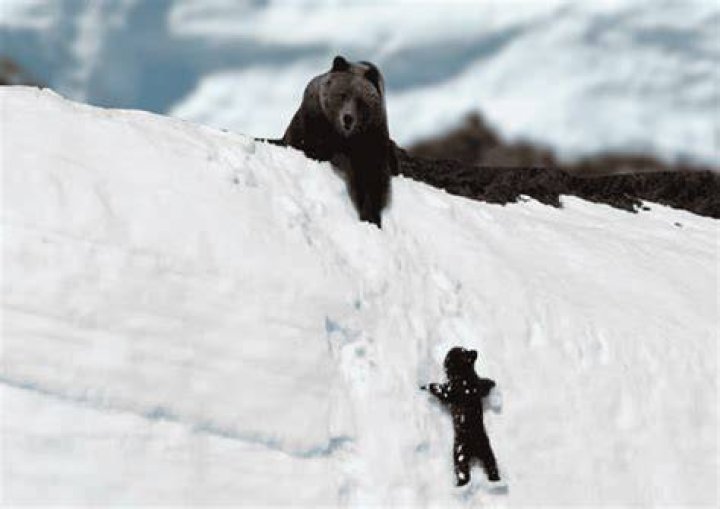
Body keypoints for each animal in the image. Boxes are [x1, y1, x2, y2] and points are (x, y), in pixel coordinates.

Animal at [280, 55, 395, 228]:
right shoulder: (316, 121)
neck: (343, 136)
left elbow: (372, 178)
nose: (348, 118)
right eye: (342, 94)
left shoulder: (371, 136)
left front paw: (371, 217)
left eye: (360, 101)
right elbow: (312, 147)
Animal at [421, 346, 500, 486]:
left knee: (462, 472)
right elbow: (484, 385)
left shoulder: (449, 391)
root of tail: (474, 447)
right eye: (465, 350)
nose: (475, 351)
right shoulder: (477, 385)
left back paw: (461, 484)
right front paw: (491, 383)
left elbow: (439, 389)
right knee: (492, 466)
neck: (464, 376)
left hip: (459, 453)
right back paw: (495, 480)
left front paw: (425, 386)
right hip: (487, 452)